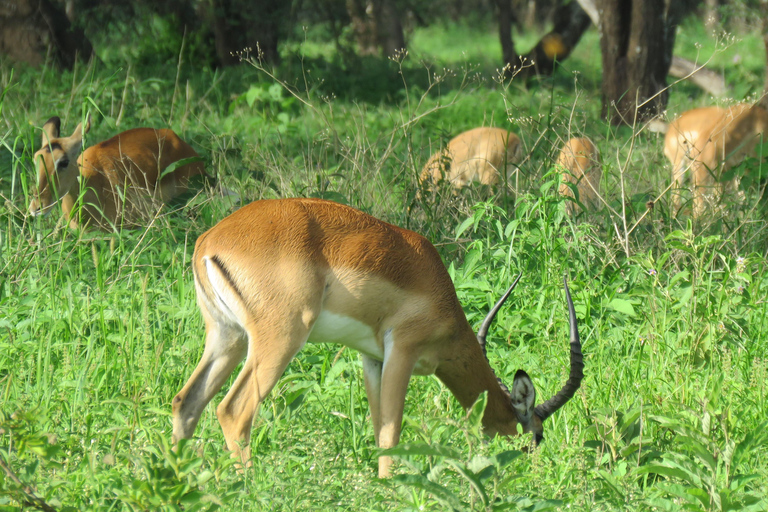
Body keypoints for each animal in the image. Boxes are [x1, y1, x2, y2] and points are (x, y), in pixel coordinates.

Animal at [174, 198, 584, 478]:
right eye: (535, 435)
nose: (531, 474)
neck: (438, 291)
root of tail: (209, 241)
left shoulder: (372, 358)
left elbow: (378, 428)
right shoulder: (402, 350)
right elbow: (392, 432)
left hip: (228, 337)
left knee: (186, 402)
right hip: (280, 337)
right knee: (233, 410)